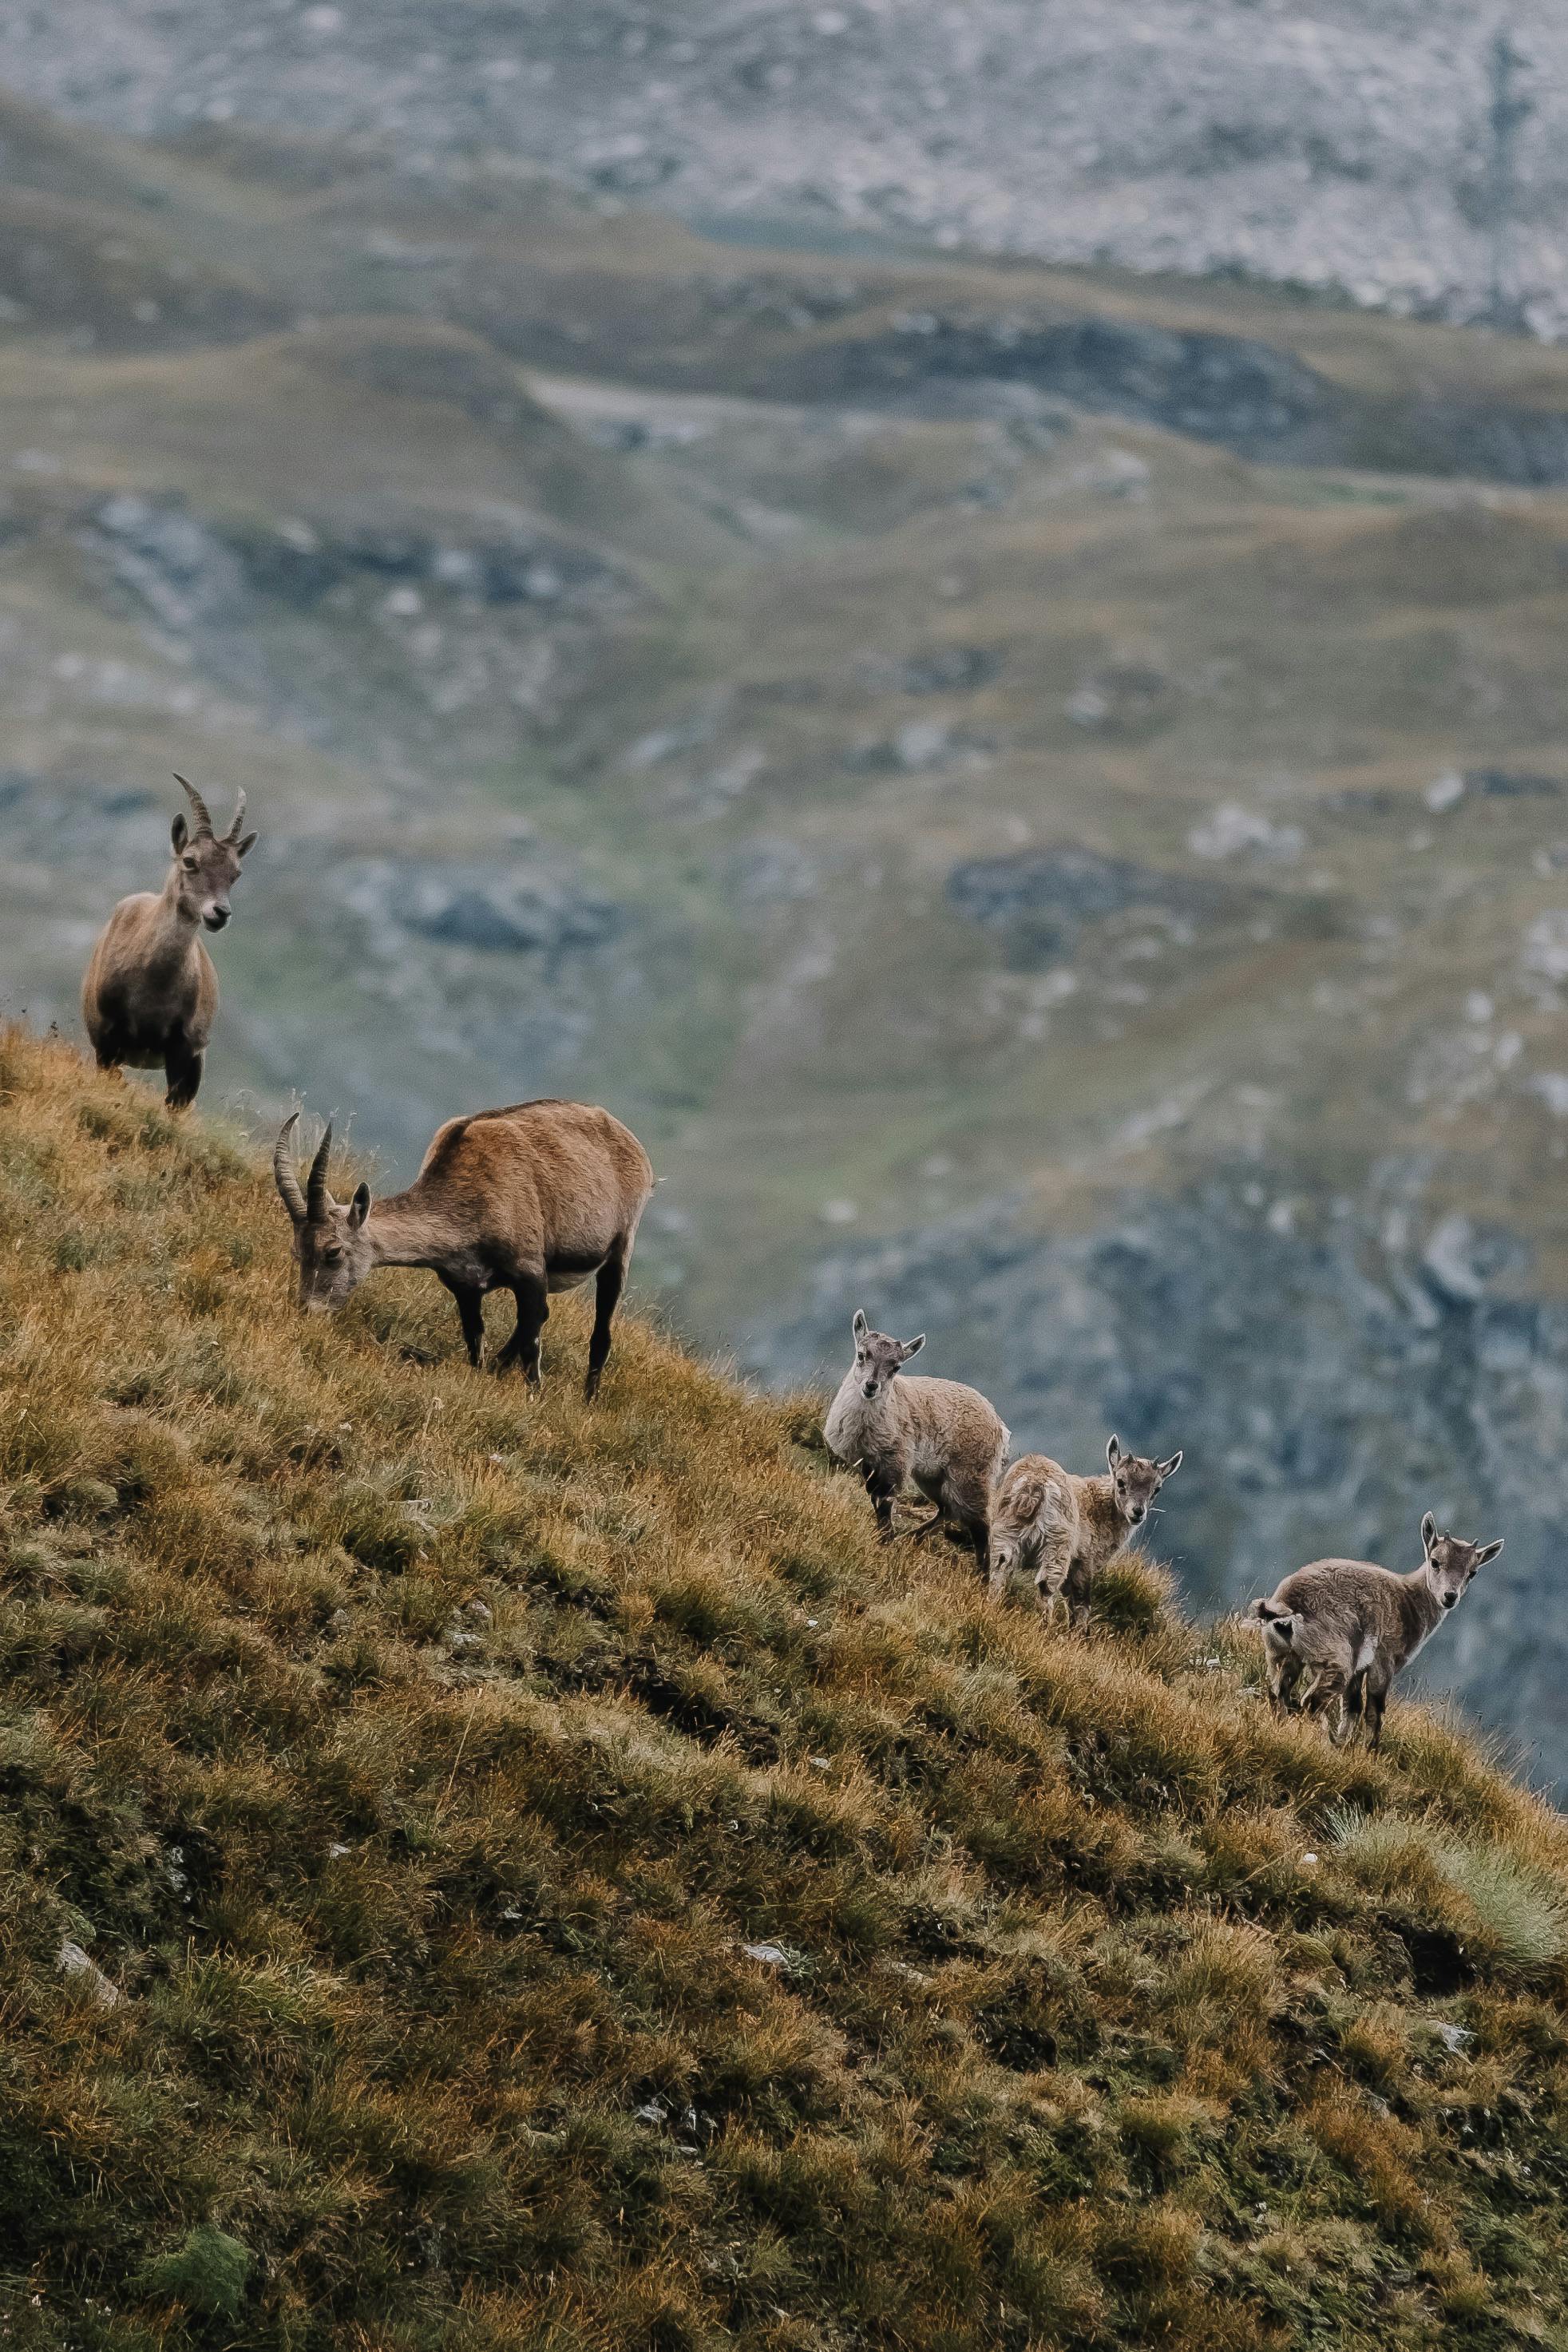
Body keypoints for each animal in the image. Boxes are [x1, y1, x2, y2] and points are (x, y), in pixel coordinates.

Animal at [82, 774, 256, 1110]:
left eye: (236, 873)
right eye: (189, 860)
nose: (220, 913)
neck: (152, 984)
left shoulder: (184, 1048)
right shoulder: (107, 1038)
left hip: (197, 1062)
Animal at [273, 1097, 654, 1400]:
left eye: (333, 1252)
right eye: (296, 1252)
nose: (307, 1311)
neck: (469, 1198)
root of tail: (634, 1145)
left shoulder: (530, 1268)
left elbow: (532, 1339)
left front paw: (535, 1396)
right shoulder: (464, 1285)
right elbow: (475, 1336)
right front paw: (483, 1373)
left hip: (621, 1247)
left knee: (598, 1332)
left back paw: (588, 1399)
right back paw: (500, 1367)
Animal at [824, 1310, 1008, 1575]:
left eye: (896, 1367)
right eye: (862, 1355)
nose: (871, 1386)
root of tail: (999, 1426)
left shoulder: (895, 1461)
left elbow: (885, 1499)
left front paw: (886, 1538)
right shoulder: (870, 1461)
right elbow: (873, 1494)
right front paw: (887, 1536)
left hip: (970, 1476)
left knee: (981, 1525)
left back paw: (981, 1576)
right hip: (932, 1477)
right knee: (948, 1509)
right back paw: (914, 1537)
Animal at [989, 1436, 1183, 1624]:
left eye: (1156, 1489)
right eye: (1121, 1482)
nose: (1138, 1512)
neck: (1099, 1507)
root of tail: (1034, 1487)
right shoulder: (1084, 1561)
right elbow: (1081, 1604)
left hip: (1006, 1530)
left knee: (999, 1567)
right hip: (1057, 1543)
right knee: (1046, 1585)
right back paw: (1045, 1626)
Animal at [1249, 1512, 1503, 1752]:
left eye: (1472, 1572)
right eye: (1435, 1562)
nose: (1450, 1597)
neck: (1409, 1602)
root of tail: (1287, 1605)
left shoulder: (1359, 1667)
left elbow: (1352, 1708)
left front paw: (1343, 1745)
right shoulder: (1383, 1661)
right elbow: (1373, 1711)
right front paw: (1369, 1751)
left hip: (1283, 1655)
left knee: (1278, 1693)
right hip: (1337, 1659)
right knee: (1312, 1701)